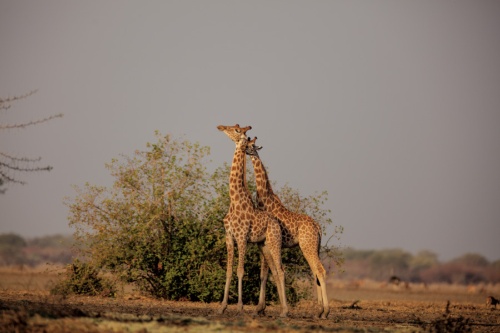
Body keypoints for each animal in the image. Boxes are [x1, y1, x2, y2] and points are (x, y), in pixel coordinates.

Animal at [216, 124, 290, 316]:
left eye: (235, 130)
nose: (220, 127)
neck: (234, 201)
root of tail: (277, 223)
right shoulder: (229, 237)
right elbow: (228, 271)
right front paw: (222, 306)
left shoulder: (242, 238)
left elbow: (240, 270)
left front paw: (240, 306)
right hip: (264, 245)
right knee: (273, 271)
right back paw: (278, 308)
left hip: (274, 242)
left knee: (281, 269)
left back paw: (285, 311)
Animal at [246, 136, 332, 318]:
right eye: (247, 144)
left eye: (253, 145)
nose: (246, 150)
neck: (265, 198)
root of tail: (318, 227)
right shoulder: (264, 243)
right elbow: (264, 274)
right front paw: (261, 308)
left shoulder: (267, 241)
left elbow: (267, 273)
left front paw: (263, 308)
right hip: (314, 247)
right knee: (315, 272)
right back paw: (319, 310)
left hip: (307, 245)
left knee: (320, 270)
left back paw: (325, 312)